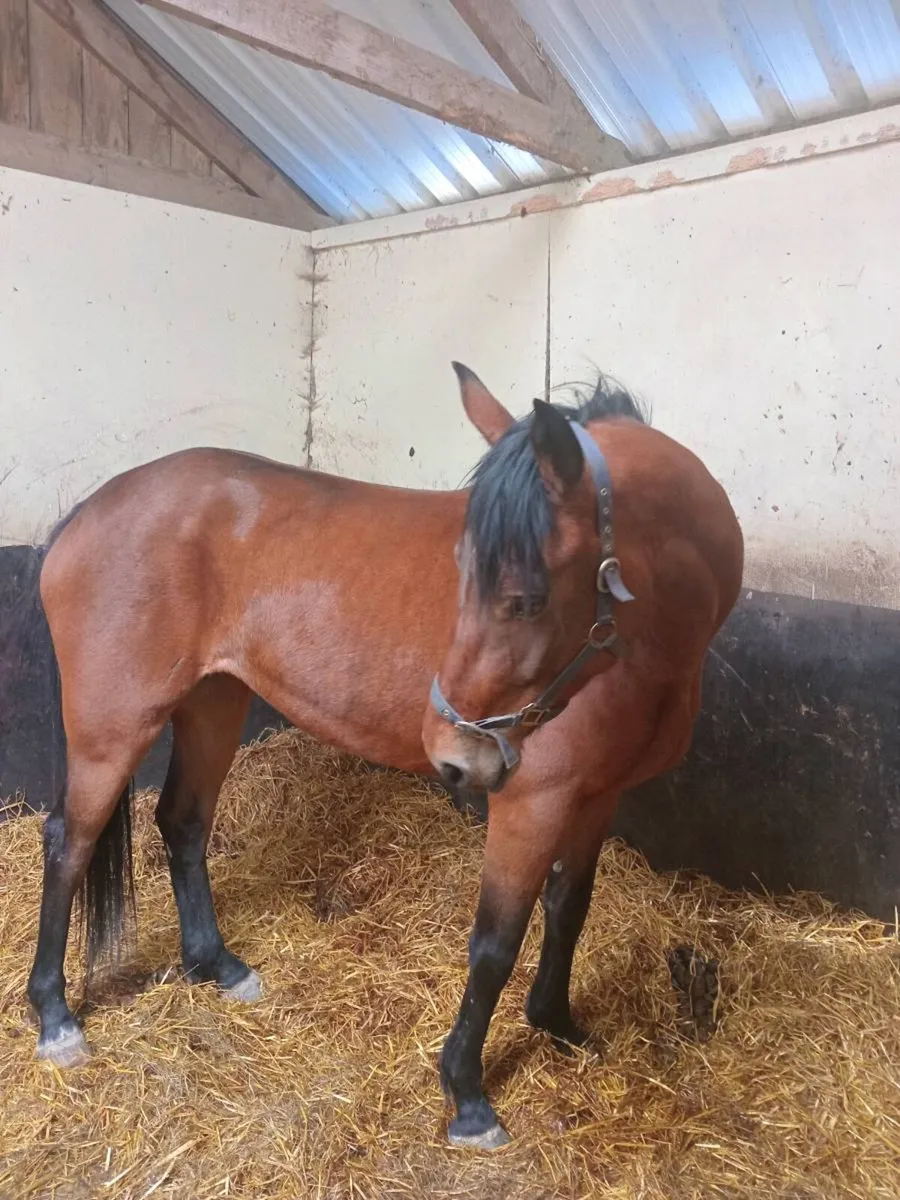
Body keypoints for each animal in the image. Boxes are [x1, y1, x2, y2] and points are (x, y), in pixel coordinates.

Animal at [11, 363, 743, 1149]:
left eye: (523, 598)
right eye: (468, 575)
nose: (454, 756)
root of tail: (88, 511)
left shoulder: (598, 795)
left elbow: (568, 909)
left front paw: (559, 1025)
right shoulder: (533, 803)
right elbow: (496, 942)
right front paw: (468, 1094)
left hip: (214, 703)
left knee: (182, 822)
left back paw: (217, 966)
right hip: (113, 728)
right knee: (70, 843)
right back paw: (56, 1019)